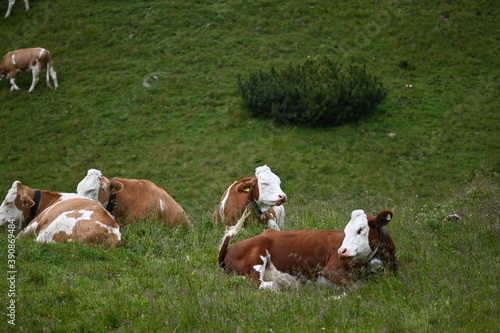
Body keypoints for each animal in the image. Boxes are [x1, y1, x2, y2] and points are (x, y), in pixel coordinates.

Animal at [219, 209, 398, 290]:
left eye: (361, 229)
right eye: (346, 230)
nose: (342, 251)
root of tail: (231, 249)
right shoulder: (331, 270)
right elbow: (357, 286)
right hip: (257, 254)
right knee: (256, 281)